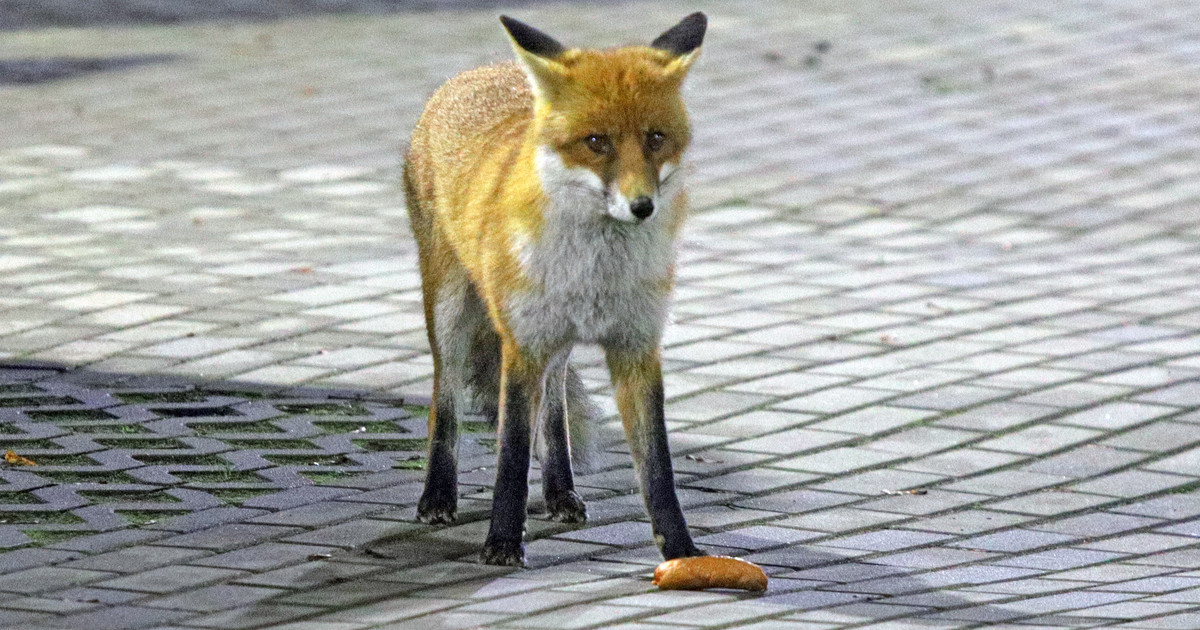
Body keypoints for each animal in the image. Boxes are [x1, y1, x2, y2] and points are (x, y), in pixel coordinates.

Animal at [405, 11, 700, 564]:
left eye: (655, 137)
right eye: (596, 142)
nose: (642, 206)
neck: (594, 271)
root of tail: (478, 71)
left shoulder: (636, 346)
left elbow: (658, 470)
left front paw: (684, 553)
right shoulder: (521, 345)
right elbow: (512, 455)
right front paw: (502, 542)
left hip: (555, 339)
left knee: (557, 403)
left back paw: (560, 489)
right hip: (451, 314)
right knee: (445, 401)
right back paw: (438, 494)